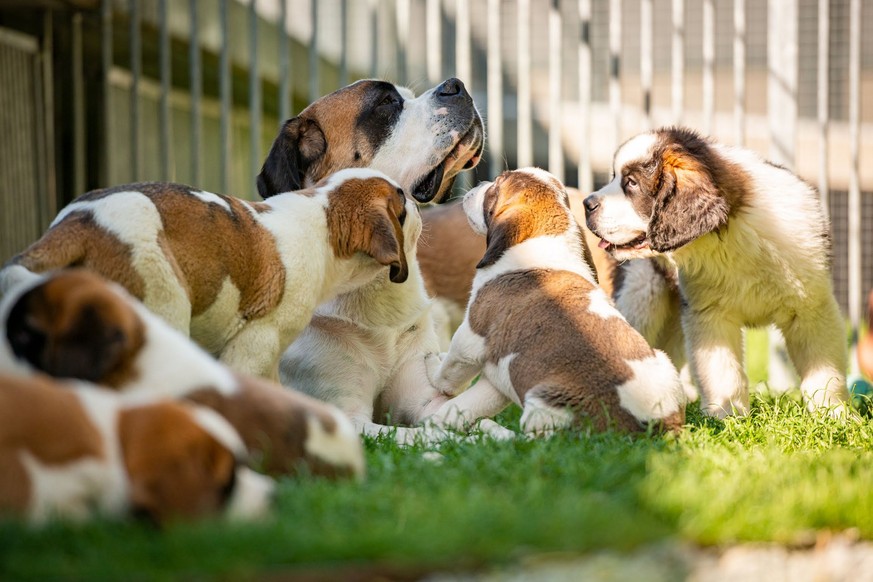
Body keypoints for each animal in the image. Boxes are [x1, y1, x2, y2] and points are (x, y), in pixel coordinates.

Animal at [0, 169, 416, 380]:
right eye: (401, 202)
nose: (415, 199)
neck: (323, 215)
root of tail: (80, 224)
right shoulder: (257, 342)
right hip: (163, 306)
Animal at [424, 167, 688, 436]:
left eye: (495, 186)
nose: (479, 185)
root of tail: (648, 425)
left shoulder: (471, 336)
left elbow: (448, 371)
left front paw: (433, 365)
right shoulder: (499, 372)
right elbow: (471, 401)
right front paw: (443, 419)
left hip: (545, 404)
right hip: (663, 361)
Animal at [584, 128, 848, 420]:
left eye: (630, 183)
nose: (586, 203)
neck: (729, 233)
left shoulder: (812, 307)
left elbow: (824, 368)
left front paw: (833, 413)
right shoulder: (710, 314)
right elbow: (723, 370)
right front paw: (727, 415)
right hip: (644, 293)